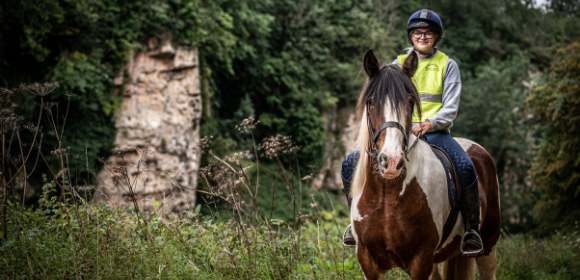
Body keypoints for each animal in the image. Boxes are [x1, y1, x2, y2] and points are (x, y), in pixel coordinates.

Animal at [348, 49, 502, 278]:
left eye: (411, 102)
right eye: (371, 101)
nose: (391, 161)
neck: (386, 195)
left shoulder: (421, 260)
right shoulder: (368, 262)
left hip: (487, 247)